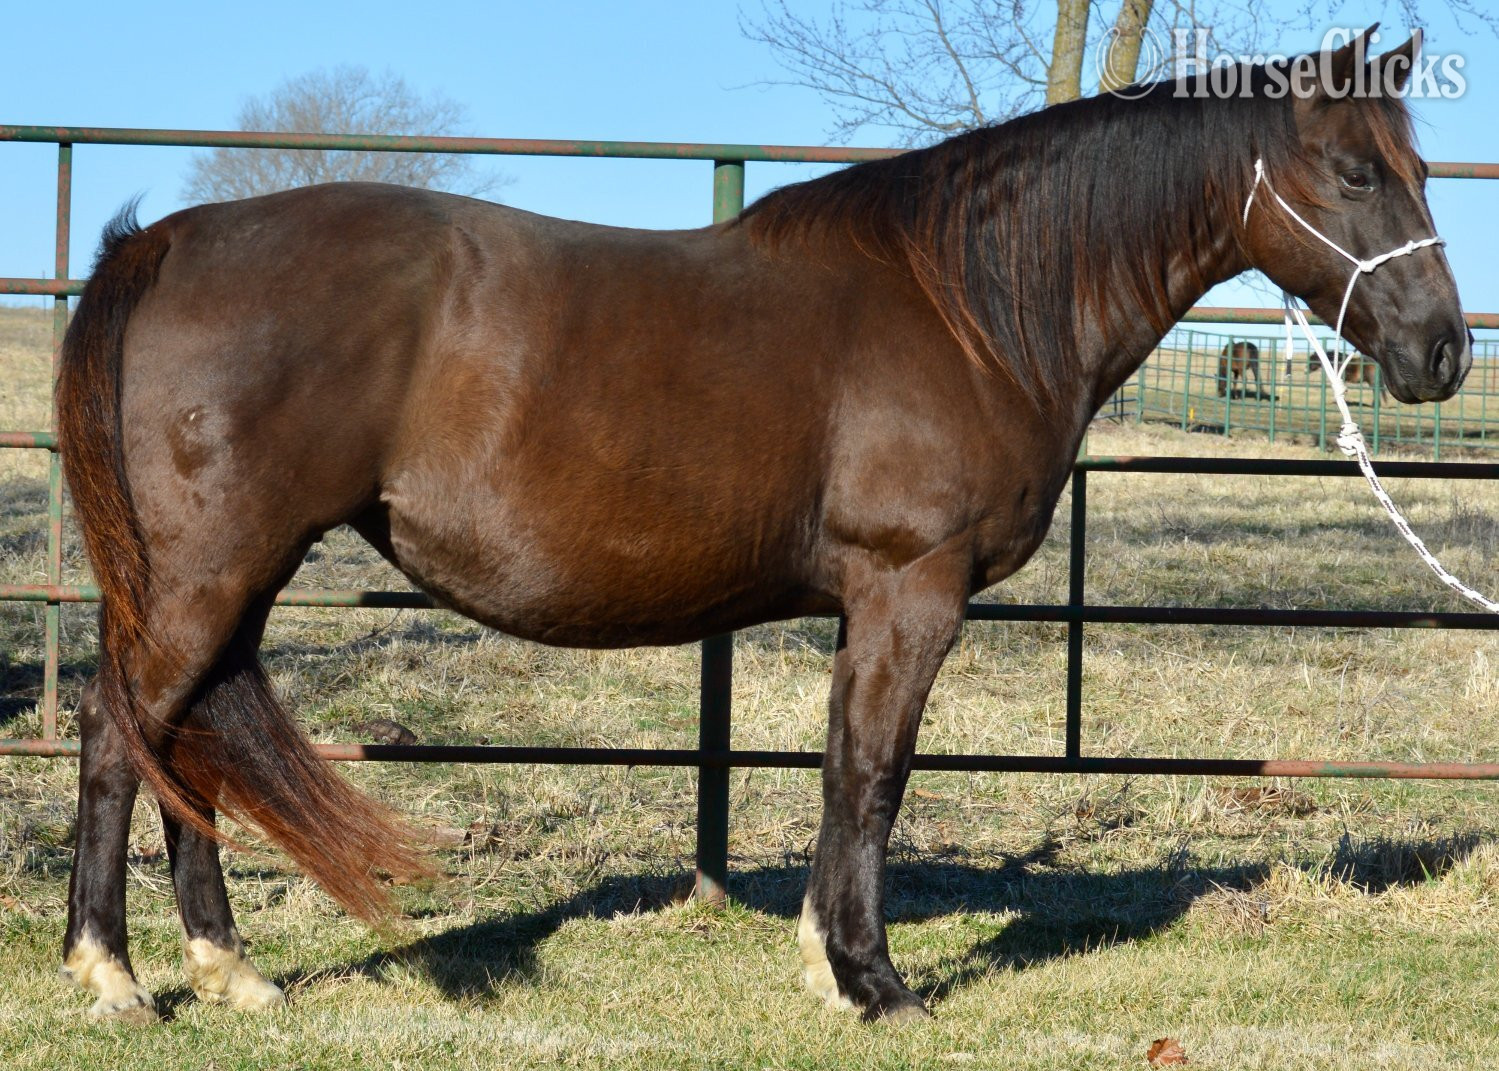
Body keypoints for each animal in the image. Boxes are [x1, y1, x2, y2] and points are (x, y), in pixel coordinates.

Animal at [53, 31, 1468, 1025]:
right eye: (1354, 171)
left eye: (1420, 170)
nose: (1443, 352)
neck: (966, 309)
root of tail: (164, 246)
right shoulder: (909, 592)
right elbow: (874, 775)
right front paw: (873, 983)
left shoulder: (872, 606)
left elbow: (845, 772)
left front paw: (823, 963)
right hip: (205, 574)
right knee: (122, 737)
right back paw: (115, 977)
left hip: (232, 578)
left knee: (189, 744)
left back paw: (231, 972)